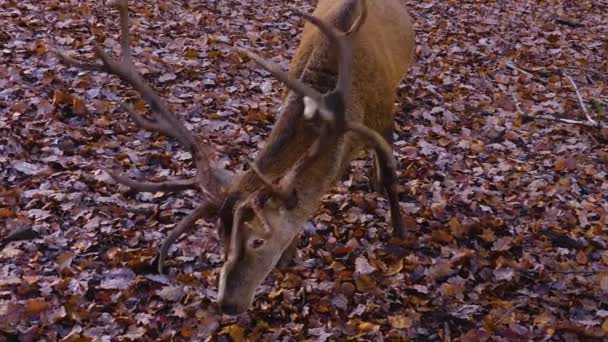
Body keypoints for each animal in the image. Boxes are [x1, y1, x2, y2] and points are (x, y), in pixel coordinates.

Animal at [54, 0, 416, 314]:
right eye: (220, 237)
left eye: (256, 241)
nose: (226, 305)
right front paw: (290, 255)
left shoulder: (384, 113)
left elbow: (390, 172)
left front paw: (400, 233)